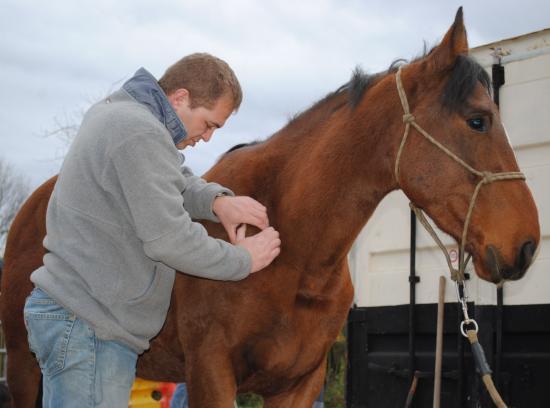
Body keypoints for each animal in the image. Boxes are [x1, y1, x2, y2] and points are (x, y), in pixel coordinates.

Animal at [0, 8, 544, 404]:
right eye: (478, 120)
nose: (526, 245)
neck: (298, 259)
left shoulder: (299, 384)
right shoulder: (212, 374)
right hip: (26, 366)